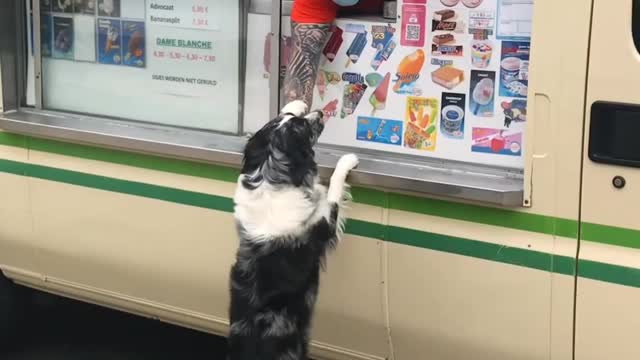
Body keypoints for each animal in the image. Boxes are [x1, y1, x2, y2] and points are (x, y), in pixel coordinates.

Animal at [229, 100, 360, 360]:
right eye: (305, 128)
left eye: (293, 118)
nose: (320, 112)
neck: (270, 176)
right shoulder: (325, 222)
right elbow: (333, 190)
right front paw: (347, 160)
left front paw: (295, 102)